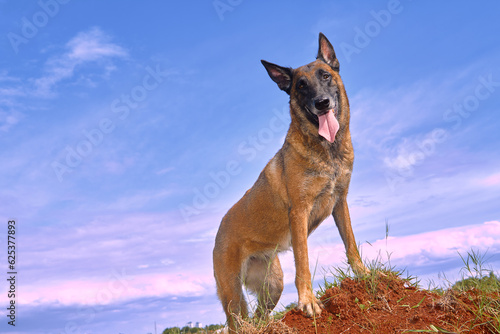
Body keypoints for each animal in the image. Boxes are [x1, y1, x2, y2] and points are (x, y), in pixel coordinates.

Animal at [212, 32, 368, 332]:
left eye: (326, 76)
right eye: (301, 86)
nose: (322, 103)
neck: (327, 150)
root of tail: (220, 227)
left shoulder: (339, 203)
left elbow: (351, 244)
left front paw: (365, 274)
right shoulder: (299, 212)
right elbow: (303, 263)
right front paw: (308, 302)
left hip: (272, 285)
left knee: (259, 316)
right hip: (233, 295)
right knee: (240, 320)